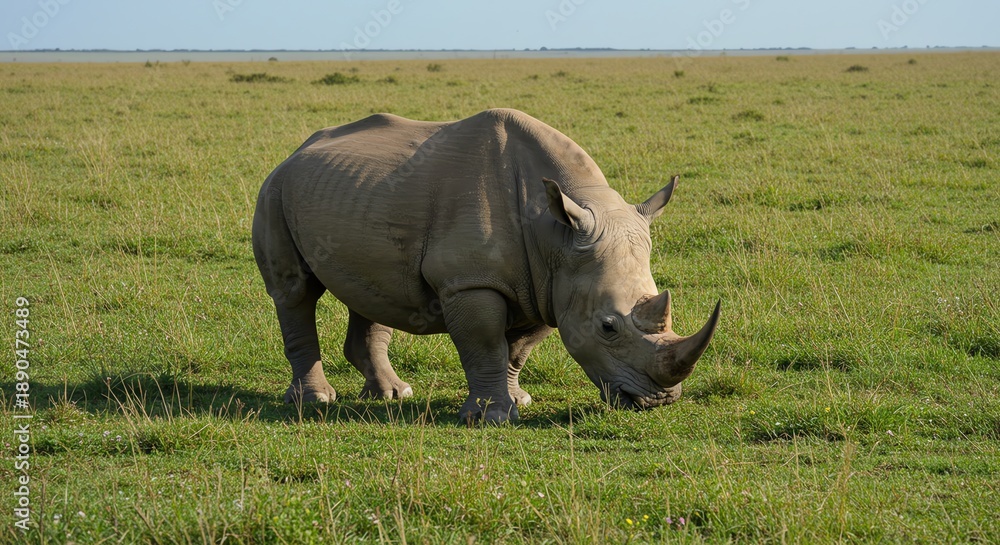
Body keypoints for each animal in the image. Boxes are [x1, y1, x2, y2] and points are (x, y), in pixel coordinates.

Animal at [252, 108, 719, 423]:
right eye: (607, 327)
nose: (658, 401)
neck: (556, 233)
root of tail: (297, 150)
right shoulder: (472, 281)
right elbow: (484, 344)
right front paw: (490, 417)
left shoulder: (548, 284)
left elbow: (517, 349)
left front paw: (519, 400)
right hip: (274, 189)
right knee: (295, 292)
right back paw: (315, 401)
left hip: (351, 192)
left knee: (372, 290)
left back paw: (392, 395)